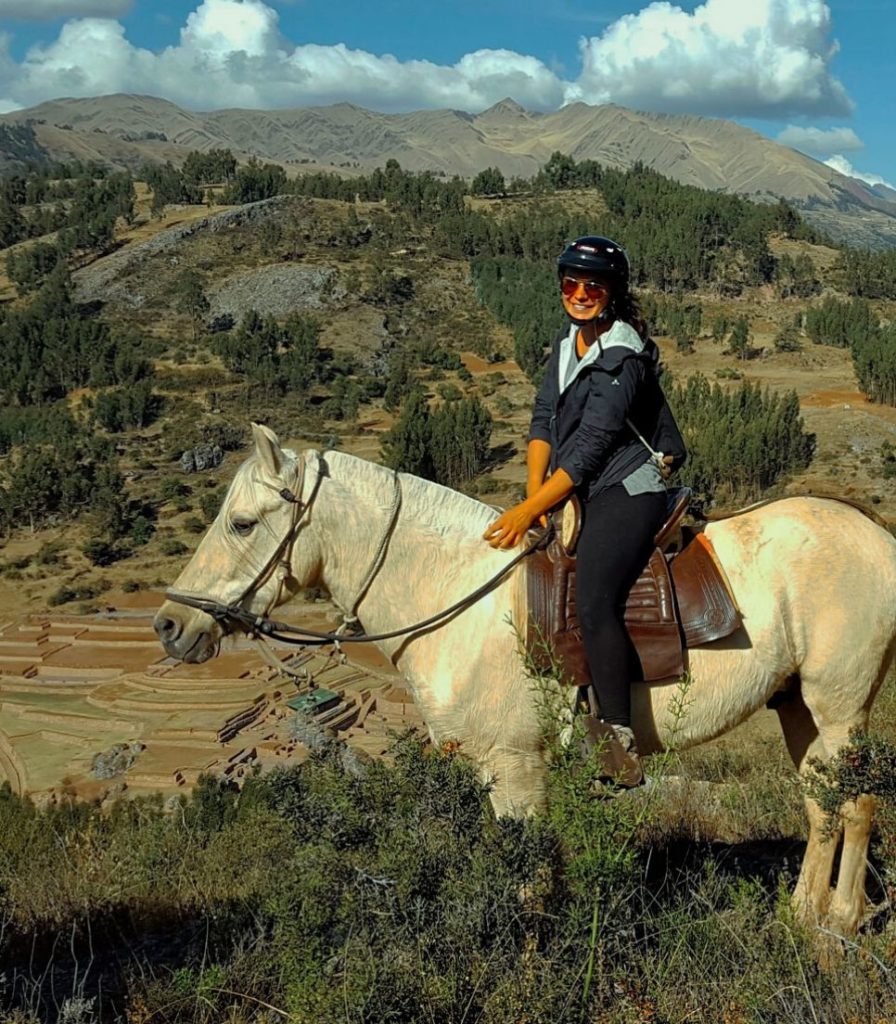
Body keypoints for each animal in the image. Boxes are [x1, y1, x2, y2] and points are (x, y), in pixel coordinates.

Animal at [154, 421, 896, 937]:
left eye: (242, 522)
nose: (168, 624)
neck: (458, 593)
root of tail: (877, 534)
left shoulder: (515, 769)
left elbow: (529, 884)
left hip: (841, 708)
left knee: (855, 805)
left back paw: (841, 922)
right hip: (796, 707)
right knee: (821, 806)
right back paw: (802, 914)